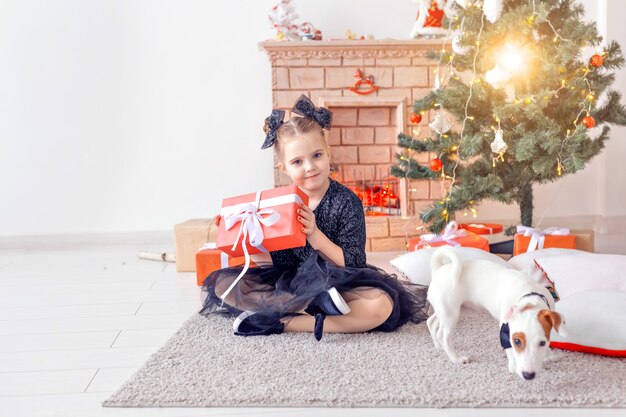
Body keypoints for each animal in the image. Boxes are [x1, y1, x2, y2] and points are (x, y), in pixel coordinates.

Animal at [424, 245, 564, 378]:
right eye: (517, 341)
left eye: (541, 343)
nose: (528, 374)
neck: (529, 297)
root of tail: (437, 271)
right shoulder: (505, 329)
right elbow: (509, 349)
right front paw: (513, 367)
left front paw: (549, 355)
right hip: (450, 314)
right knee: (443, 336)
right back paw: (456, 358)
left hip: (447, 311)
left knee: (431, 322)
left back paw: (438, 346)